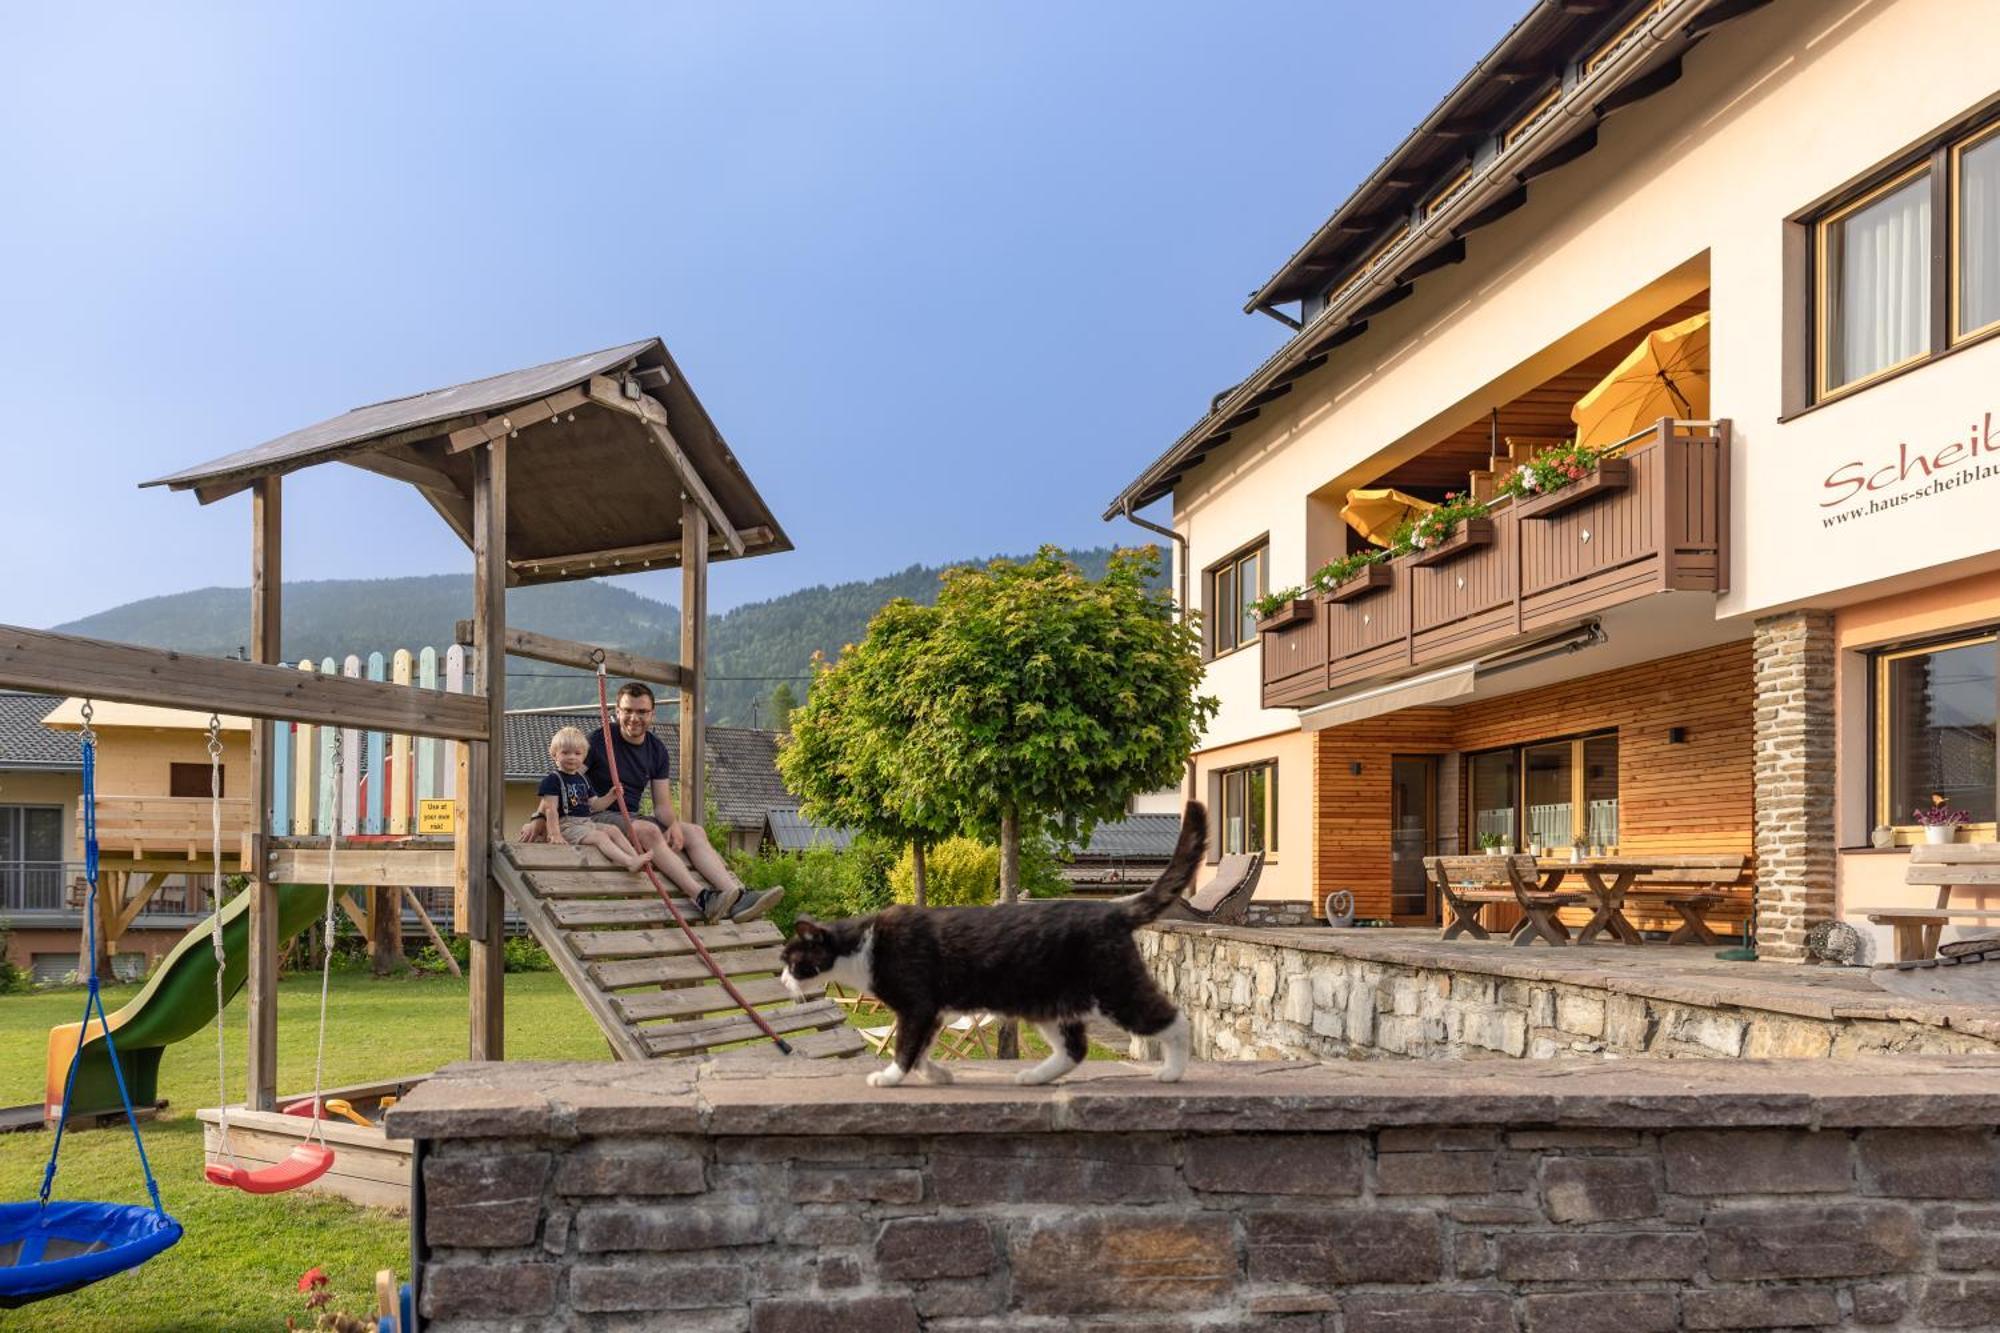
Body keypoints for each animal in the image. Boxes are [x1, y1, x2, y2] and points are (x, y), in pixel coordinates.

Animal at [776, 800, 1200, 1080]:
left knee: (1175, 1019)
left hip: (1113, 987)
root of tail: (1114, 909)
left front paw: (891, 1076)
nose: (780, 981)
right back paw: (1034, 1077)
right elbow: (922, 1048)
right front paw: (936, 1074)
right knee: (1074, 1047)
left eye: (792, 962)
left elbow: (906, 1045)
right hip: (1048, 1001)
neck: (863, 946)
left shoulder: (917, 1005)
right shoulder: (934, 1011)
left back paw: (1172, 1071)